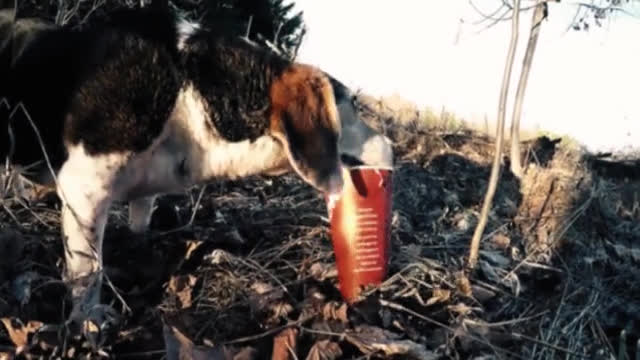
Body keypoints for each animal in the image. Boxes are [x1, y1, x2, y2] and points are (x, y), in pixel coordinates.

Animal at [0, 3, 392, 334]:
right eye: (352, 106)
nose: (392, 145)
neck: (189, 93)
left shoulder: (144, 191)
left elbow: (140, 222)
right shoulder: (84, 189)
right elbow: (88, 272)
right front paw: (90, 321)